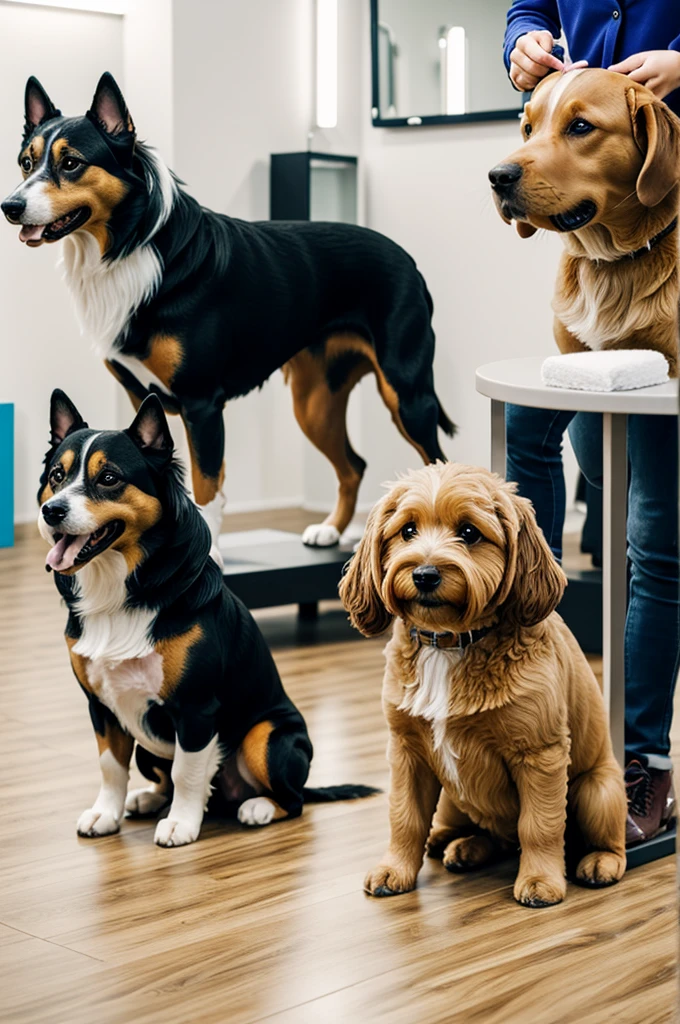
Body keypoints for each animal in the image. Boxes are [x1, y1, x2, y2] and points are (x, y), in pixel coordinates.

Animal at [5, 74, 454, 552]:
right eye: (26, 163)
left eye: (71, 163)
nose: (9, 207)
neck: (134, 247)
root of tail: (407, 260)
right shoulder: (140, 399)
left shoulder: (202, 404)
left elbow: (206, 487)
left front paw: (210, 553)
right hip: (315, 403)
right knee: (353, 465)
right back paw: (331, 529)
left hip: (406, 393)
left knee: (437, 463)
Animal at [37, 391, 376, 847]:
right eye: (57, 475)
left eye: (108, 478)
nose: (51, 511)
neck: (124, 589)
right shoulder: (101, 706)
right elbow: (111, 767)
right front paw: (105, 814)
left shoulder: (196, 709)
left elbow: (187, 770)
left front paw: (181, 823)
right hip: (150, 746)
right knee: (162, 776)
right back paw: (148, 798)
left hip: (268, 737)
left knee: (293, 799)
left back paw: (258, 807)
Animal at [340, 460, 626, 909]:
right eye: (407, 531)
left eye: (470, 532)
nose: (424, 574)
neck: (450, 641)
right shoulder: (406, 753)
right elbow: (404, 817)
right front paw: (395, 870)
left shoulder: (540, 754)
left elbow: (540, 825)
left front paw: (541, 880)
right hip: (452, 797)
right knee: (487, 833)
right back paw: (459, 844)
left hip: (596, 790)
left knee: (601, 840)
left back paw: (600, 861)